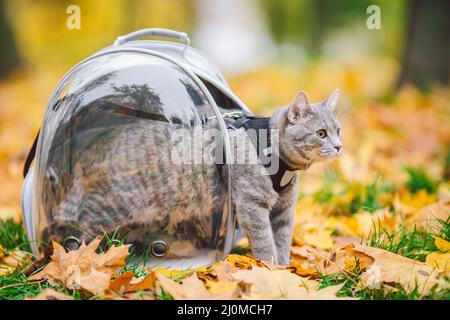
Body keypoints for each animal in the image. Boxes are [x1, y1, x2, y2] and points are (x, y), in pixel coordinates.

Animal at [43, 89, 342, 264]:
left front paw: (283, 268)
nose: (339, 146)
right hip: (112, 206)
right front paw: (269, 268)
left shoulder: (284, 207)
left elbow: (281, 239)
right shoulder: (252, 204)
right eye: (321, 133)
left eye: (338, 130)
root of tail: (95, 146)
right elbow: (265, 241)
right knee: (71, 225)